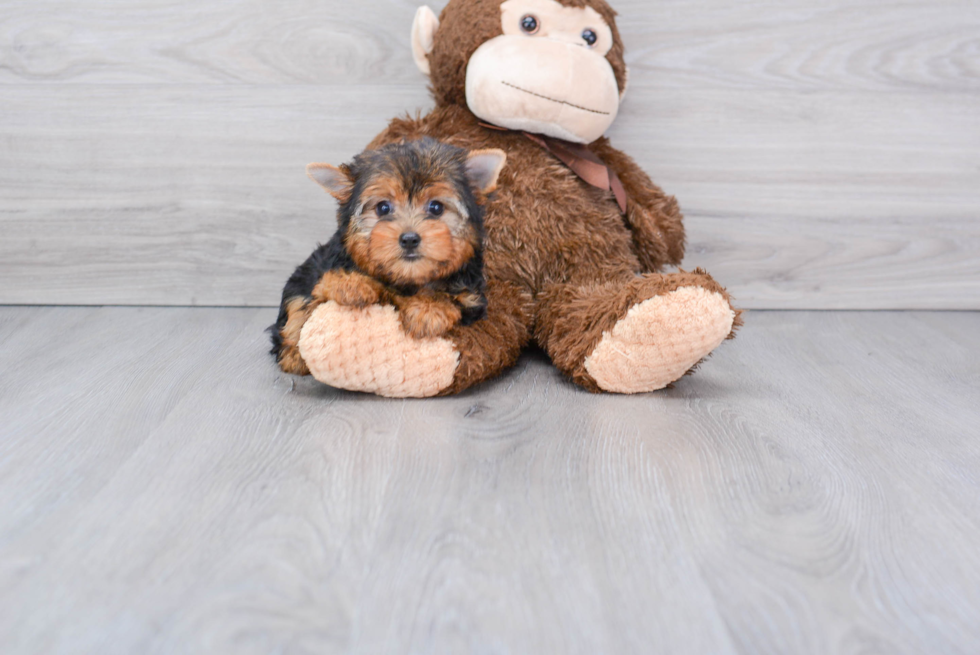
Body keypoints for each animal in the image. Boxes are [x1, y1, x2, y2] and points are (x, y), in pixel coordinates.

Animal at [272, 137, 510, 380]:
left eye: (436, 207)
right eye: (383, 207)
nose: (409, 239)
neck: (406, 280)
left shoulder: (472, 299)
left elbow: (454, 300)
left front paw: (429, 309)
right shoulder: (319, 269)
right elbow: (315, 292)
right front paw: (350, 283)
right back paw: (293, 355)